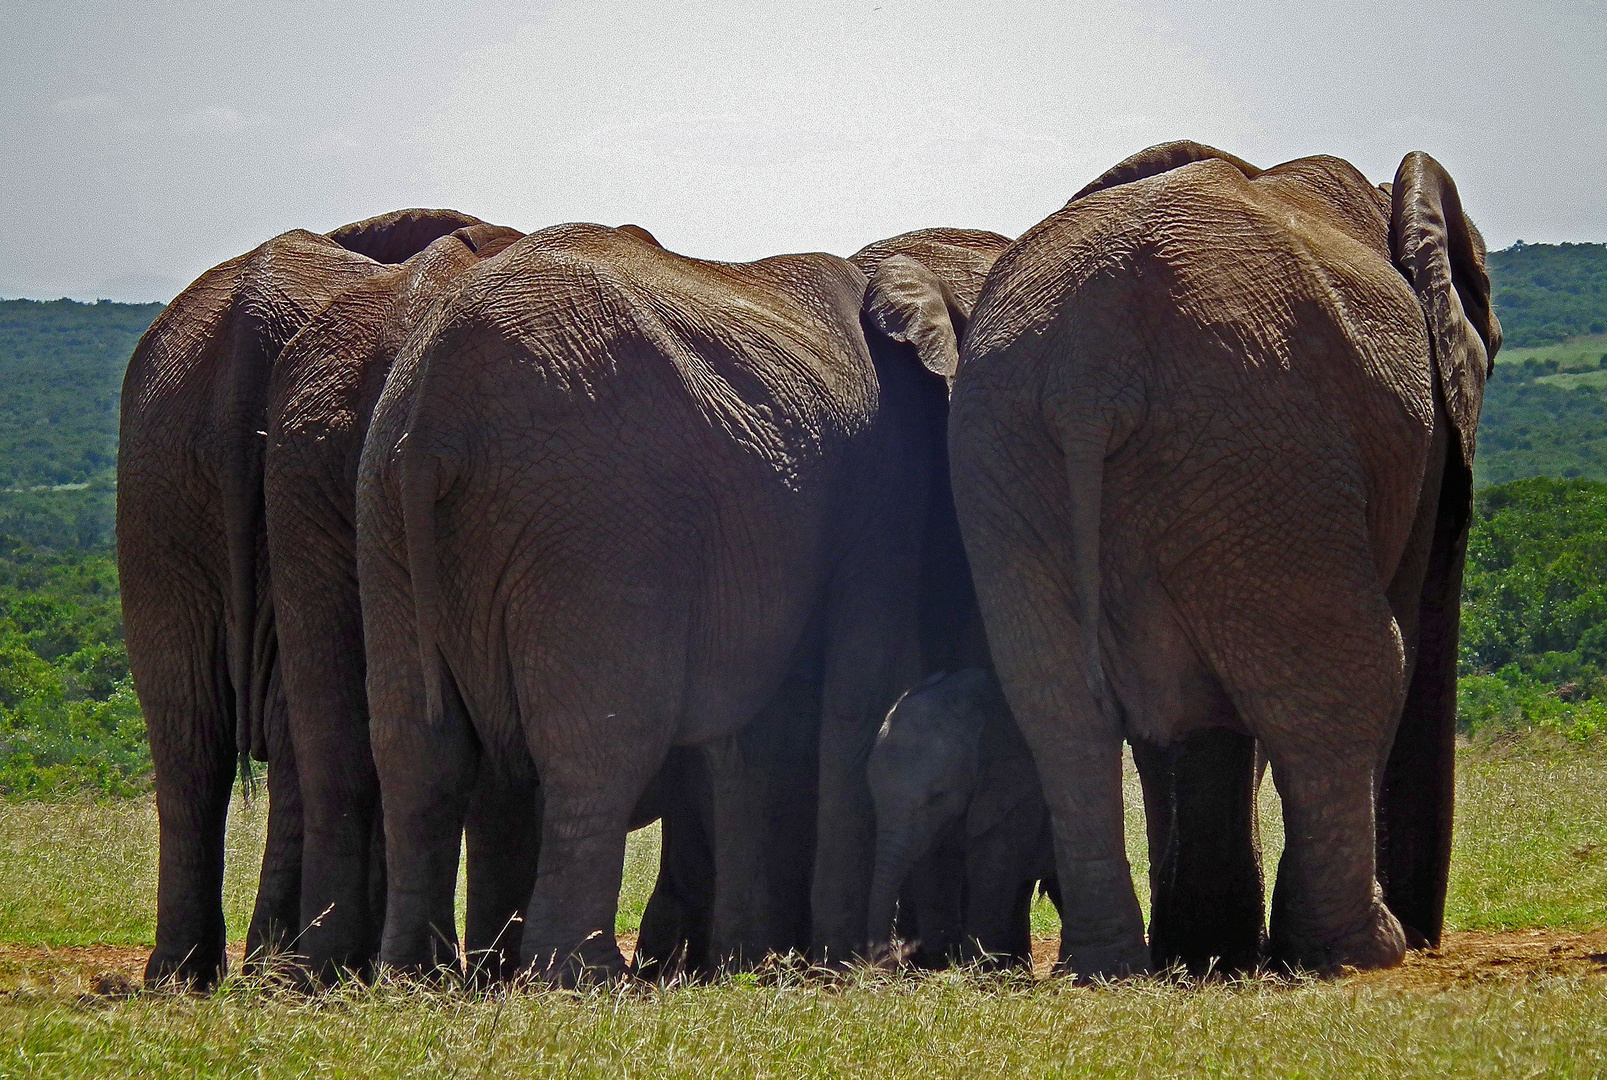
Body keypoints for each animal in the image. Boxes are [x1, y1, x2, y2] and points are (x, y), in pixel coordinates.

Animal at [358, 223, 1009, 983]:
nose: (893, 954)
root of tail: (439, 397)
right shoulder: (884, 477)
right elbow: (859, 683)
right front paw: (836, 961)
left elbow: (758, 731)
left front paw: (758, 958)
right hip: (600, 511)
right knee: (601, 739)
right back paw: (584, 978)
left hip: (385, 506)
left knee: (414, 747)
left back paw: (413, 979)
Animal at [867, 671, 1054, 964]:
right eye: (872, 793)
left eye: (937, 797)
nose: (893, 953)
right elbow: (935, 868)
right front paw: (944, 956)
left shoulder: (1017, 789)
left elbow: (991, 870)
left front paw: (972, 967)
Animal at [944, 143, 1497, 977]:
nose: (1430, 928)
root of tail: (1088, 372)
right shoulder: (1417, 445)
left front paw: (1207, 950)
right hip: (1265, 440)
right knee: (1349, 676)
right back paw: (1359, 950)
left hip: (1013, 458)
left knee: (1058, 708)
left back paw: (1108, 964)